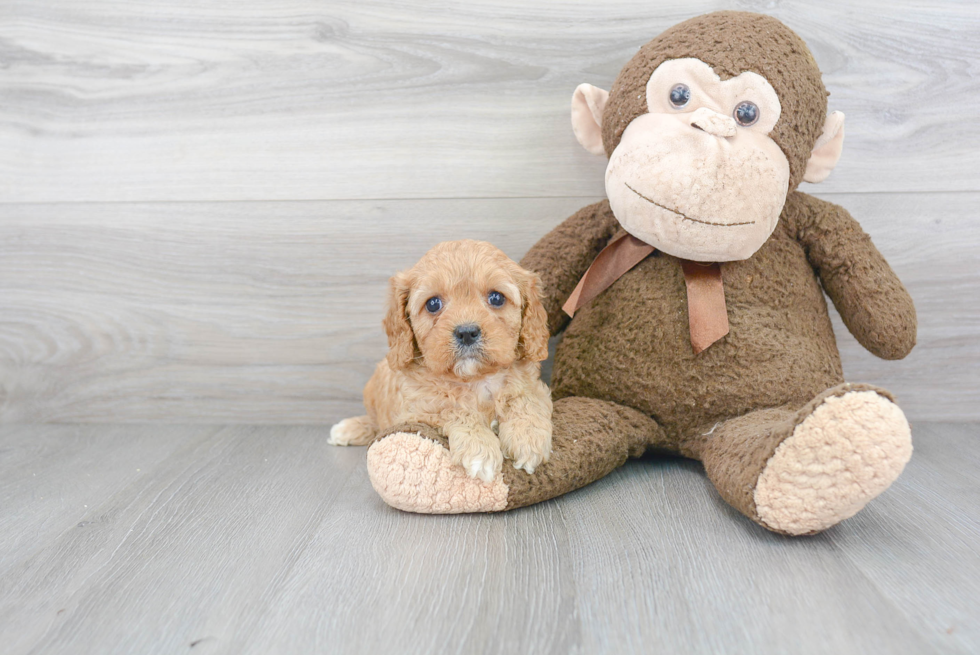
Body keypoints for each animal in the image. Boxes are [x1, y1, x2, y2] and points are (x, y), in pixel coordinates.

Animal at [332, 240, 552, 482]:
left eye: (496, 298)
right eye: (433, 304)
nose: (467, 333)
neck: (474, 379)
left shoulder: (534, 386)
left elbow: (526, 399)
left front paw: (528, 439)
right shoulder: (417, 410)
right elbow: (452, 409)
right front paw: (480, 449)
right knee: (374, 421)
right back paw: (348, 428)